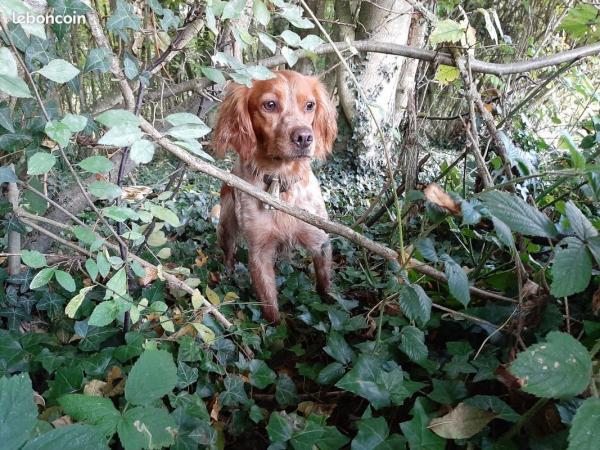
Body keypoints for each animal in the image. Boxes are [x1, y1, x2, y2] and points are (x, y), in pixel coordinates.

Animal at [213, 69, 340, 324]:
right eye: (270, 105)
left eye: (310, 105)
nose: (304, 137)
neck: (281, 183)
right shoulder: (259, 252)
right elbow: (270, 306)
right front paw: (276, 330)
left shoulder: (320, 240)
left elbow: (324, 284)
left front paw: (329, 303)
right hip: (226, 227)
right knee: (228, 254)